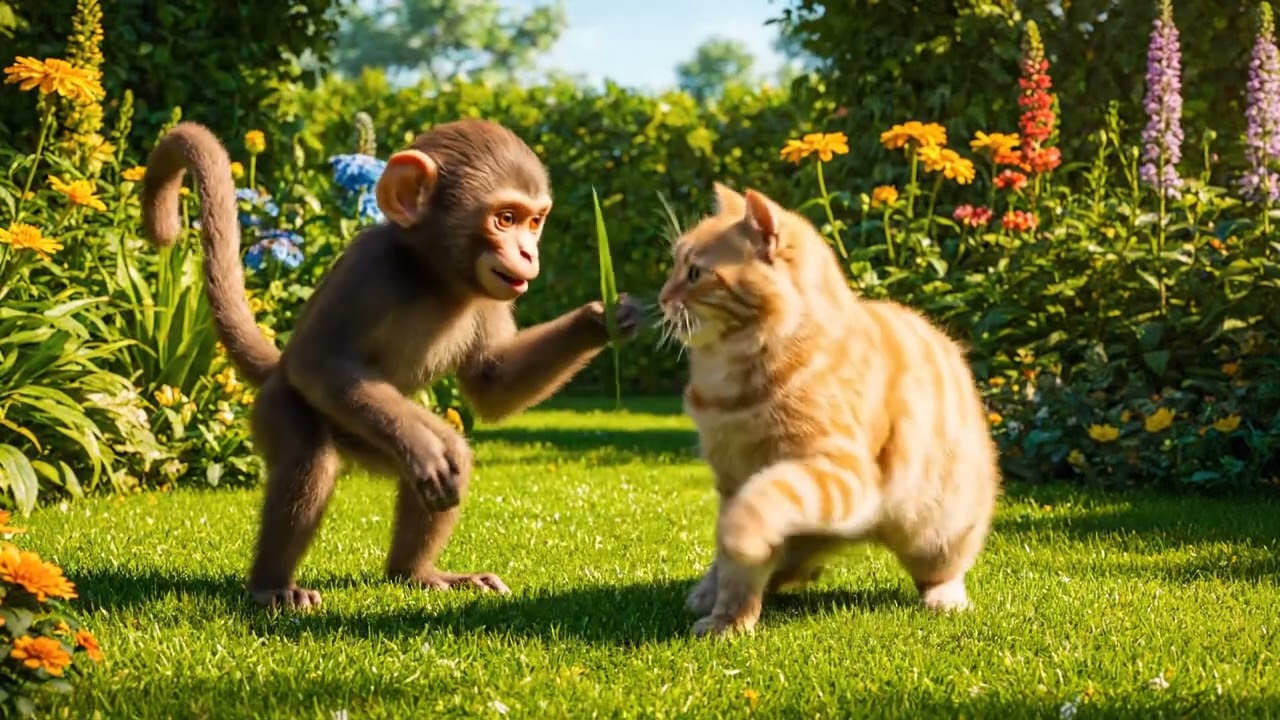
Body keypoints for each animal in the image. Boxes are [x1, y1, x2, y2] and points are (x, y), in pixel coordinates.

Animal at [141, 119, 643, 609]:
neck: (435, 277)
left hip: (366, 431)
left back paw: (416, 573)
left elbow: (490, 383)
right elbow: (319, 362)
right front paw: (422, 448)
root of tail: (273, 368)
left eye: (535, 222)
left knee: (453, 454)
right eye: (505, 219)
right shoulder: (371, 264)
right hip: (288, 403)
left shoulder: (491, 296)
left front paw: (604, 318)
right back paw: (272, 586)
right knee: (310, 456)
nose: (528, 253)